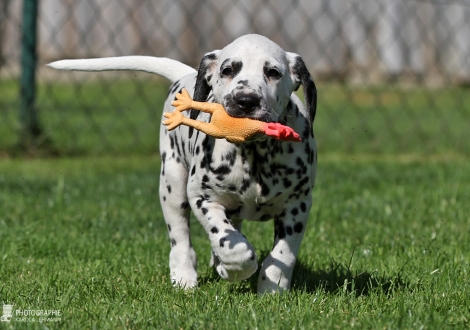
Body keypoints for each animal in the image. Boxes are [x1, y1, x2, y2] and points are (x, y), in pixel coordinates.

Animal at [47, 34, 318, 294]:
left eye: (273, 72)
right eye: (227, 70)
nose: (246, 100)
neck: (253, 155)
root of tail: (186, 74)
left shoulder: (297, 205)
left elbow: (282, 254)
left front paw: (272, 289)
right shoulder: (202, 197)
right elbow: (229, 242)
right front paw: (236, 267)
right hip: (172, 186)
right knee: (180, 237)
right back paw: (184, 277)